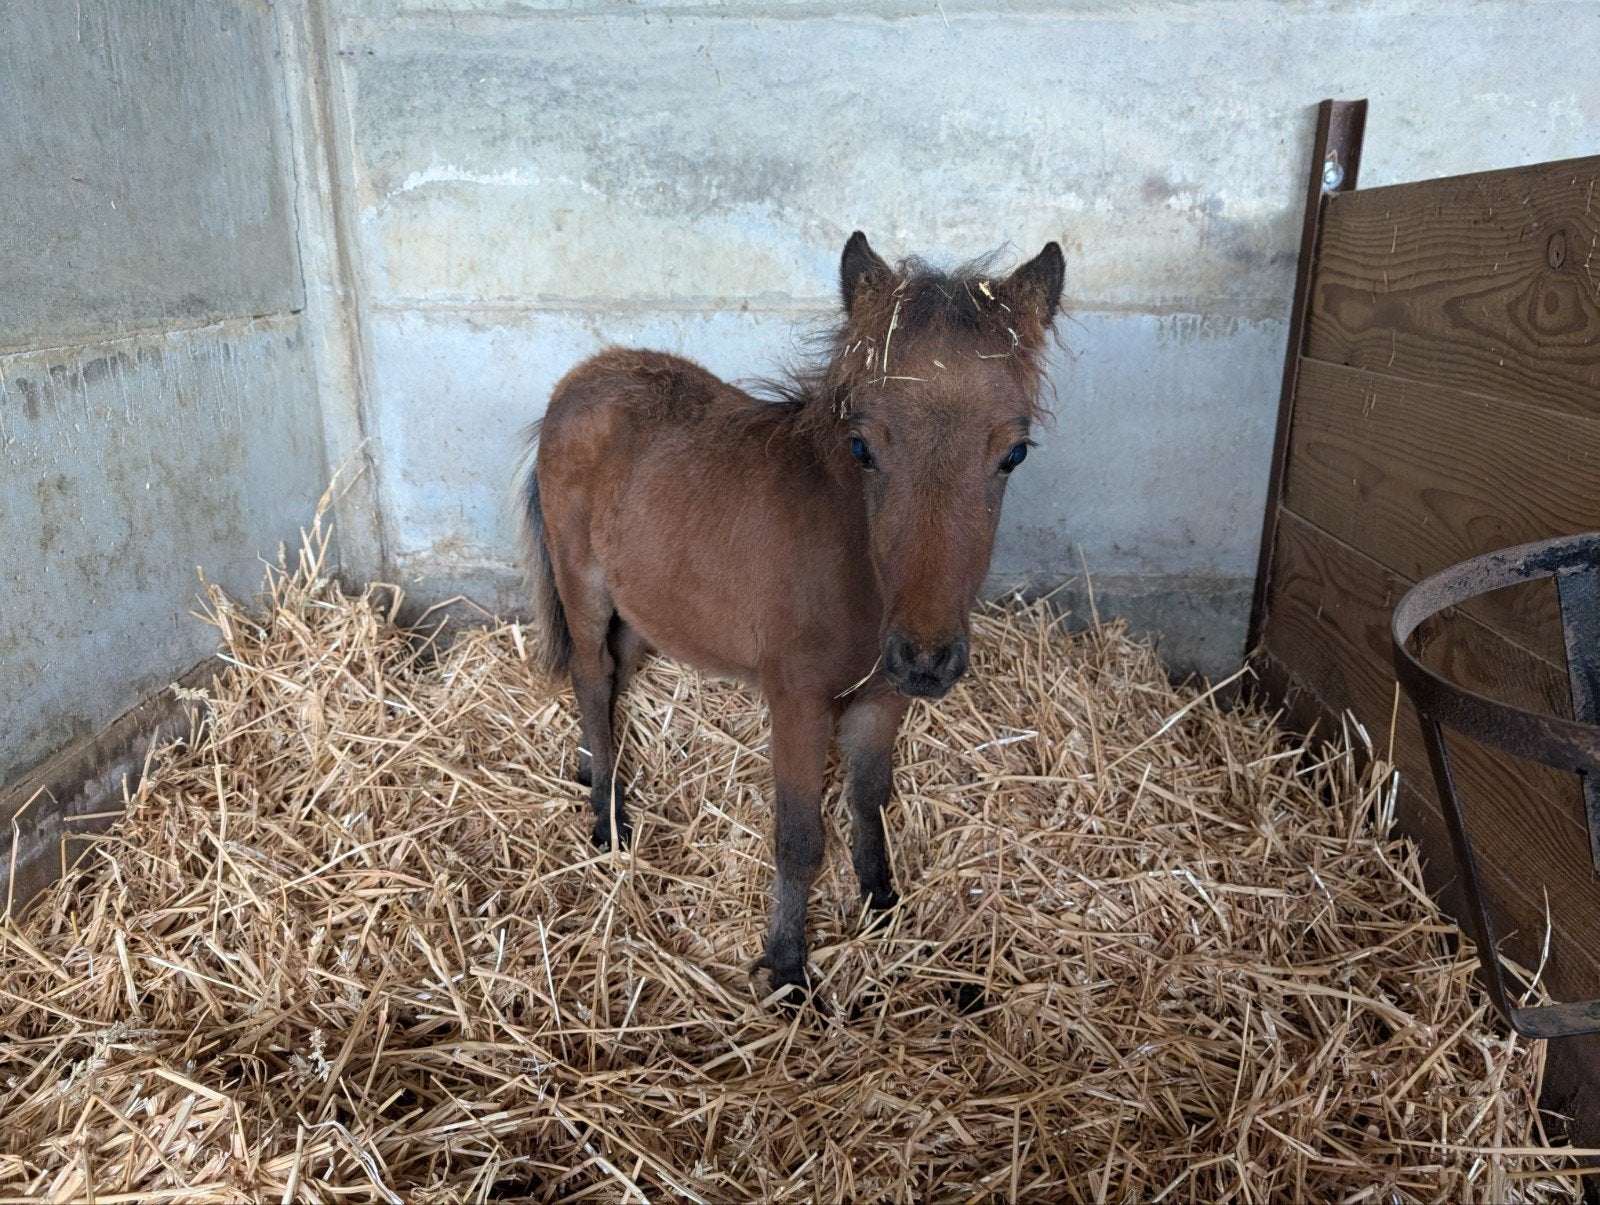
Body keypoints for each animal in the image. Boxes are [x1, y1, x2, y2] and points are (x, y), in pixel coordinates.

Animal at [514, 231, 1063, 995]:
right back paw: (609, 819)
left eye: (1014, 453)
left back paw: (593, 766)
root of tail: (579, 380)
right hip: (584, 588)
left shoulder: (883, 697)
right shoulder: (797, 703)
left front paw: (882, 902)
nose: (927, 658)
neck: (857, 574)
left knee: (613, 676)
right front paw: (786, 967)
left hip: (643, 608)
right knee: (592, 677)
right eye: (862, 446)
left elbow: (871, 799)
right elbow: (799, 838)